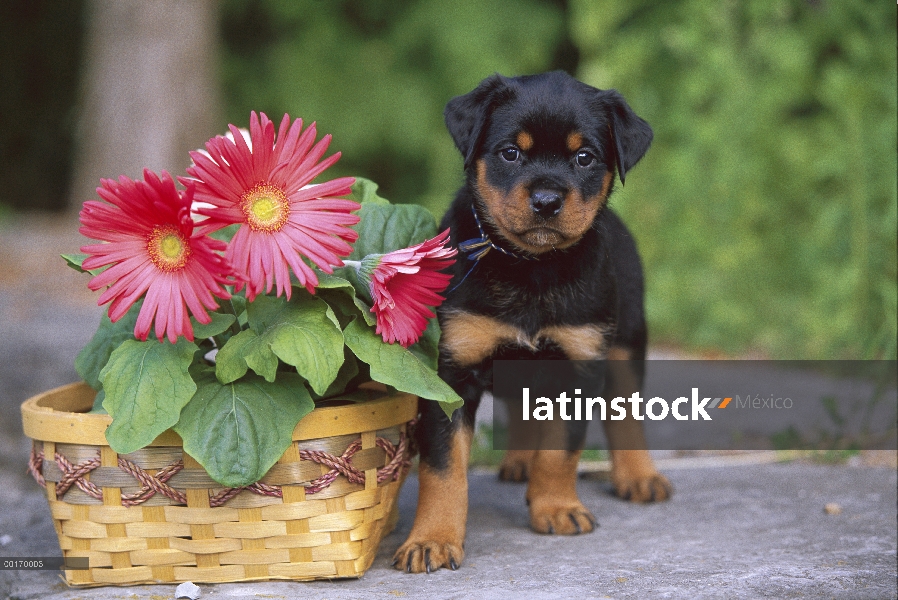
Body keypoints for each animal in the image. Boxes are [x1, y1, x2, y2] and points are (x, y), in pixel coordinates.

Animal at [396, 72, 668, 576]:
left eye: (584, 157)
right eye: (510, 153)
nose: (546, 200)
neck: (531, 269)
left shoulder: (579, 364)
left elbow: (560, 449)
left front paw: (557, 508)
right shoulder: (453, 371)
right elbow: (442, 468)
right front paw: (432, 539)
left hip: (626, 342)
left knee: (625, 414)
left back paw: (640, 476)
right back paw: (520, 461)